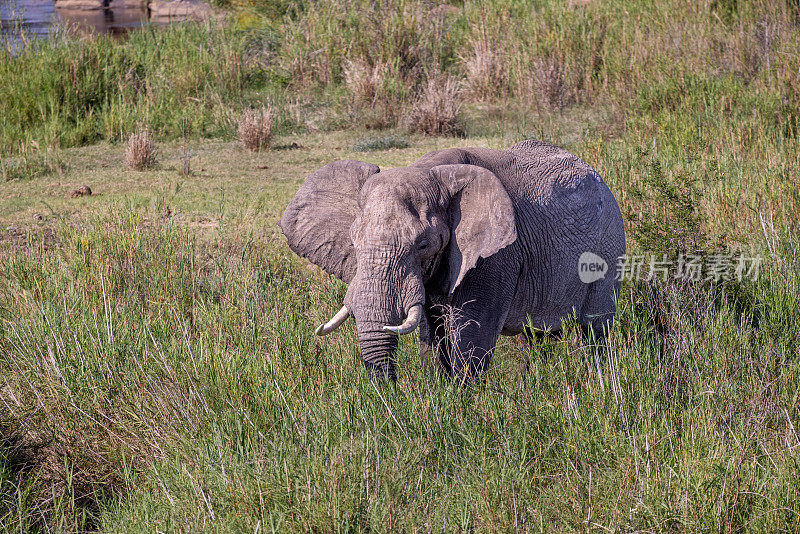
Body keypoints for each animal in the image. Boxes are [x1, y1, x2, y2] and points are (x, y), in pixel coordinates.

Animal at [280, 139, 624, 382]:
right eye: (354, 244)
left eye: (422, 245)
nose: (390, 396)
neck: (430, 173)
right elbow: (431, 339)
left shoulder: (496, 259)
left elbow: (470, 341)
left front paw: (464, 409)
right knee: (536, 338)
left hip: (608, 248)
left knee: (596, 331)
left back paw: (602, 388)